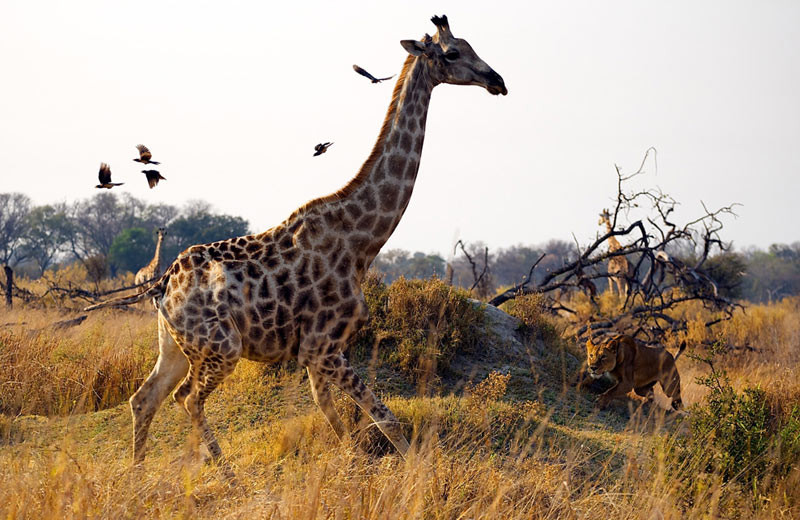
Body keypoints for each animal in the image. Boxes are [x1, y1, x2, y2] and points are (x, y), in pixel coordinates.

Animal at [83, 14, 506, 466]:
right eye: (453, 53)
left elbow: (336, 417)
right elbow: (384, 417)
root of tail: (163, 286)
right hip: (221, 346)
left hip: (175, 346)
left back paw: (139, 472)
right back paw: (226, 472)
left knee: (145, 398)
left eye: (470, 45)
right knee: (188, 398)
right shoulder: (322, 346)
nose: (497, 81)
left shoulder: (319, 350)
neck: (362, 241)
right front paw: (414, 473)